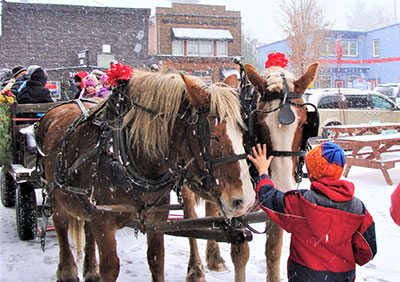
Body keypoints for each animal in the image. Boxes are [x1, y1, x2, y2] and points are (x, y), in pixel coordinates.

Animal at [37, 70, 256, 282]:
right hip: (54, 193)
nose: (245, 201)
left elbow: (156, 259)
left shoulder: (155, 217)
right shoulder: (103, 219)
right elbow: (110, 268)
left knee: (87, 227)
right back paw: (67, 271)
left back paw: (91, 271)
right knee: (61, 225)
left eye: (243, 133)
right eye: (212, 136)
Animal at [184, 62, 318, 282]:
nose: (282, 187)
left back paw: (214, 258)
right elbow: (240, 254)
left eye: (305, 123)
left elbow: (273, 250)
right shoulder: (238, 201)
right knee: (189, 218)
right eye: (260, 123)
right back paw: (195, 269)